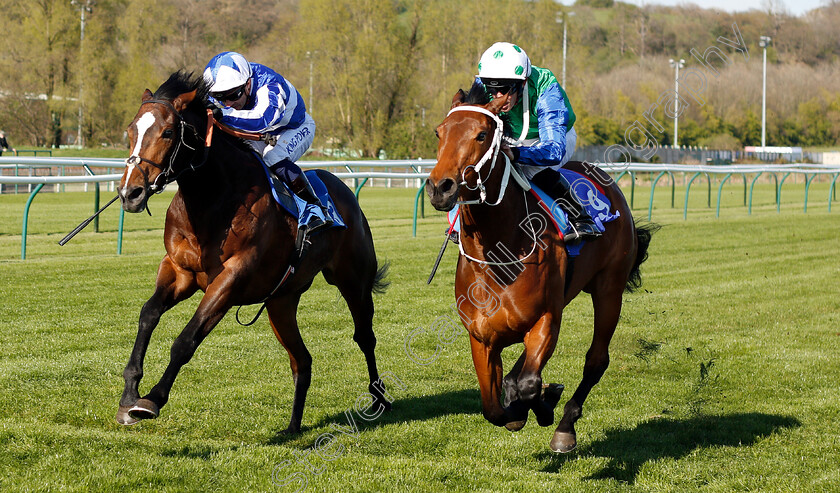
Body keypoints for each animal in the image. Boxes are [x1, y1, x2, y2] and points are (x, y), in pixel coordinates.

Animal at [113, 71, 392, 432]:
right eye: (131, 131)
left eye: (168, 132)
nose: (129, 192)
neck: (213, 198)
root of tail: (347, 193)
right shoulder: (179, 271)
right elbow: (148, 313)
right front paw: (129, 393)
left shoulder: (232, 278)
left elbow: (186, 340)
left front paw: (151, 399)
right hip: (281, 301)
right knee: (301, 359)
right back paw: (292, 427)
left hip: (353, 281)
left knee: (365, 337)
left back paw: (379, 398)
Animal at [426, 83, 656, 450]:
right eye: (439, 132)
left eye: (481, 135)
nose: (439, 186)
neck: (497, 254)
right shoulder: (482, 336)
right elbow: (493, 406)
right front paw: (521, 406)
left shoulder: (546, 318)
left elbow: (528, 384)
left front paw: (544, 405)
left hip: (609, 289)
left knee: (596, 360)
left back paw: (564, 426)